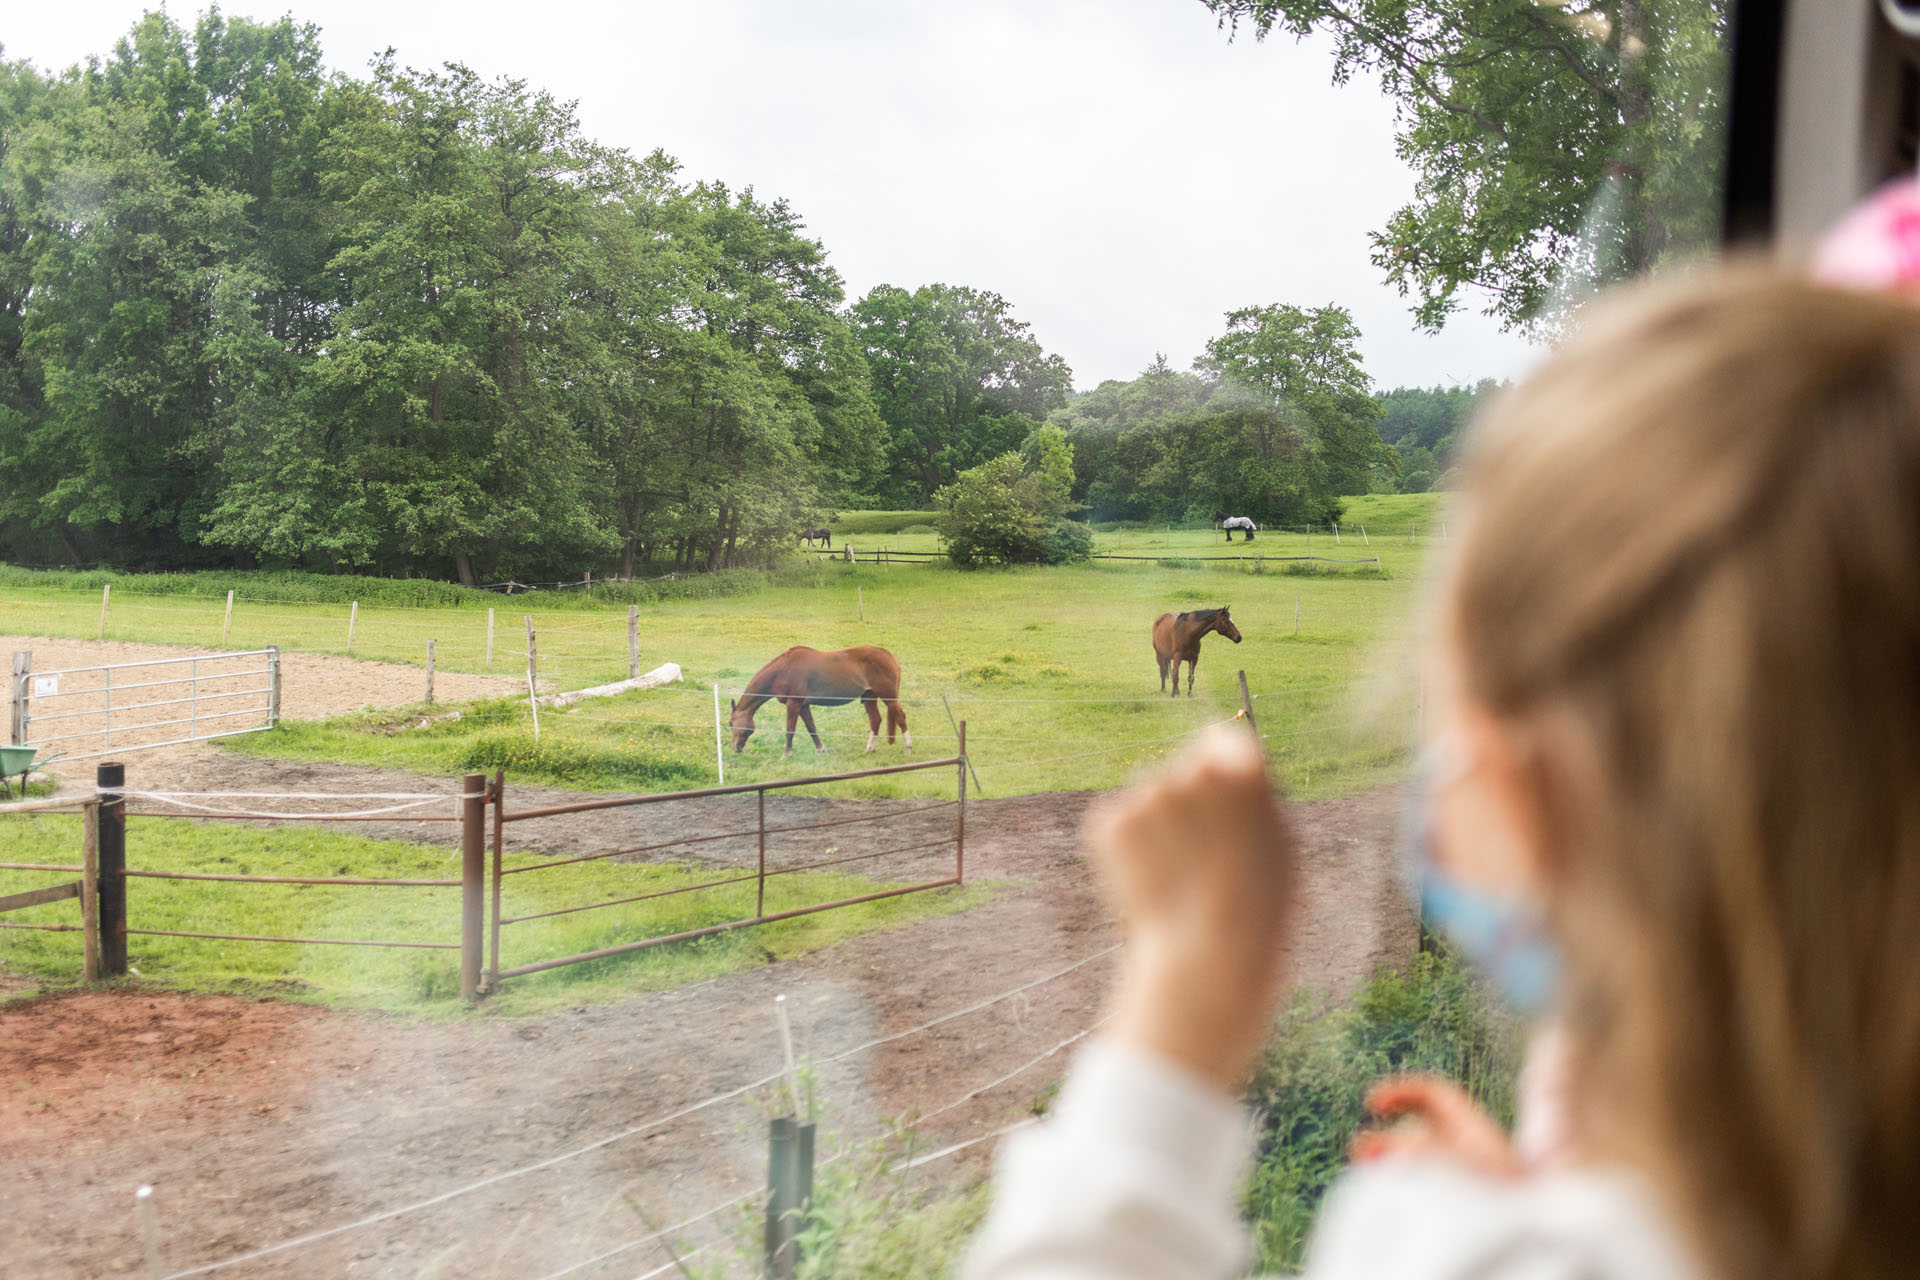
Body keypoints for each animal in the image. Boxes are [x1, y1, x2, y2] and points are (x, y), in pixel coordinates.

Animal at [733, 644, 913, 756]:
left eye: (730, 723)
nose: (735, 748)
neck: (784, 670)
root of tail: (891, 657)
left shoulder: (793, 704)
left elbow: (790, 730)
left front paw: (787, 753)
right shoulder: (803, 706)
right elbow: (811, 728)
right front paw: (821, 749)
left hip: (889, 697)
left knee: (901, 717)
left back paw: (908, 748)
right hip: (869, 697)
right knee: (875, 720)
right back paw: (870, 748)